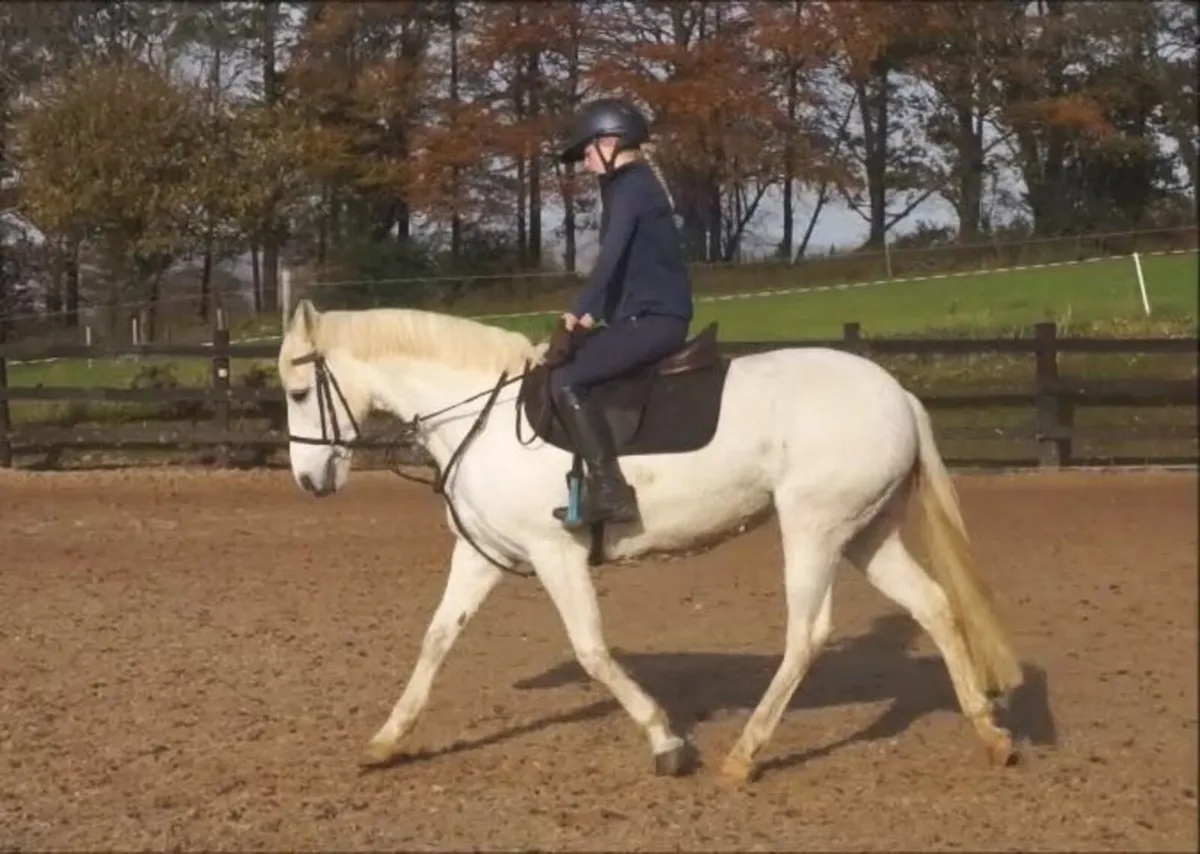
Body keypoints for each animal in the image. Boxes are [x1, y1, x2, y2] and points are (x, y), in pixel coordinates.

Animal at [276, 299, 1023, 784]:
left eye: (297, 391)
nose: (309, 481)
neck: (479, 416)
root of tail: (897, 393)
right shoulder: (483, 555)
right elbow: (435, 641)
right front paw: (385, 741)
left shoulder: (555, 553)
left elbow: (591, 651)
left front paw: (667, 742)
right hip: (865, 531)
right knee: (934, 605)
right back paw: (990, 733)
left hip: (815, 527)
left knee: (808, 634)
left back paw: (744, 755)